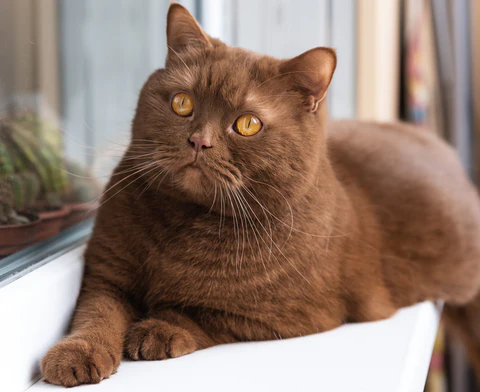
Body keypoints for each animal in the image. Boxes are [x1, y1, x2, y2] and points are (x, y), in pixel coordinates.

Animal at [40, 3, 480, 388]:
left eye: (247, 124)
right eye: (183, 103)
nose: (198, 141)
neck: (183, 224)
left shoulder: (284, 315)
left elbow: (199, 312)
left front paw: (158, 329)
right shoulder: (107, 273)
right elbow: (96, 313)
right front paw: (76, 355)